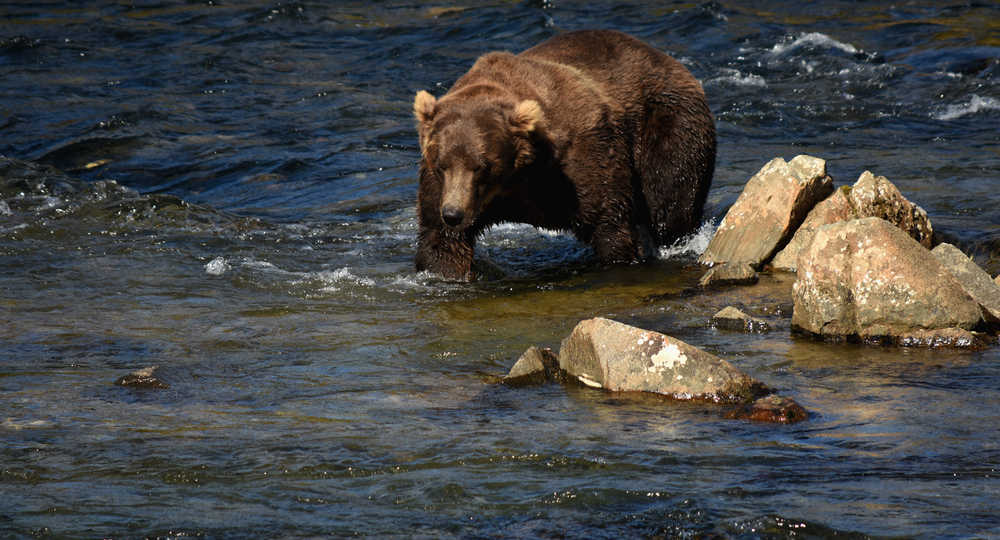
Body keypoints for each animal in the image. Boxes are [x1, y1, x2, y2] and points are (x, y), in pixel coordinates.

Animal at [413, 29, 716, 280]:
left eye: (482, 166)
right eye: (441, 165)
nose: (454, 213)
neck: (518, 176)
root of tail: (666, 58)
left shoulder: (584, 154)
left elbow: (609, 221)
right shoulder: (442, 189)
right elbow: (442, 243)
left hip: (668, 120)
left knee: (670, 200)